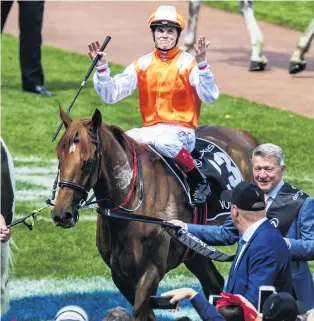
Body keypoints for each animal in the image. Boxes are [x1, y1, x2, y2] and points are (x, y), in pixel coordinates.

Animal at [51, 108, 258, 320]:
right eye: (59, 157)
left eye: (88, 162)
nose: (61, 214)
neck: (133, 204)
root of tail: (244, 135)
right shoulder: (119, 274)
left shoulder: (151, 270)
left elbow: (140, 311)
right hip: (195, 251)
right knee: (214, 284)